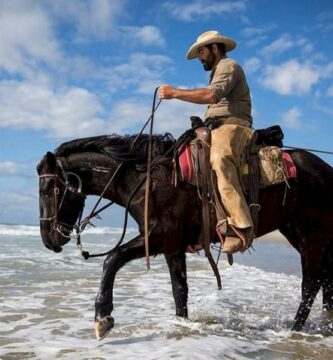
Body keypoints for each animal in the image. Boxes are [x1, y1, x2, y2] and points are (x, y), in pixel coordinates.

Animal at [37, 133, 332, 340]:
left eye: (48, 188)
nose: (49, 240)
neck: (147, 180)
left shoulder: (156, 237)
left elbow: (112, 259)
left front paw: (103, 317)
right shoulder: (172, 247)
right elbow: (179, 291)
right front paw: (182, 325)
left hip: (311, 235)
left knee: (311, 283)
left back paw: (295, 329)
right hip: (299, 233)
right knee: (325, 279)